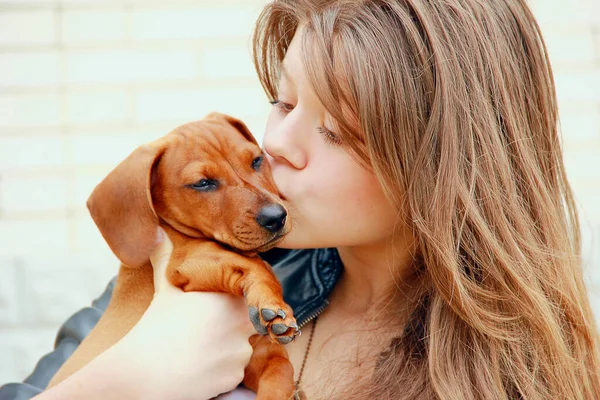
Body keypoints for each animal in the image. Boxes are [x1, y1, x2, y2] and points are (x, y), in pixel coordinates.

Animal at [48, 111, 300, 398]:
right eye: (202, 183)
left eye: (257, 160)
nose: (276, 217)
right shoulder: (186, 263)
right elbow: (254, 264)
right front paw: (274, 307)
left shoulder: (262, 354)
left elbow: (282, 370)